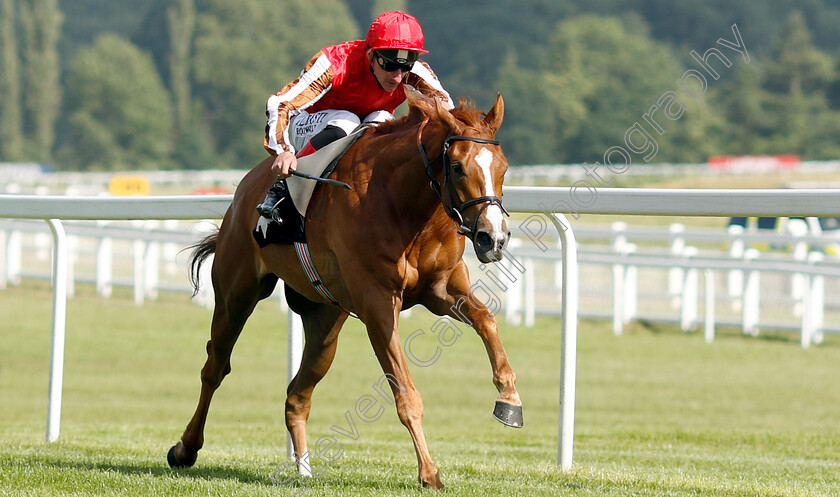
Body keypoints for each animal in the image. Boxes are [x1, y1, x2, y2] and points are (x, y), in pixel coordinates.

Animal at [167, 90, 520, 488]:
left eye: (503, 167)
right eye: (457, 167)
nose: (493, 238)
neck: (404, 205)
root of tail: (244, 189)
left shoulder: (441, 289)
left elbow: (487, 320)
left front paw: (510, 400)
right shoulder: (378, 304)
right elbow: (406, 394)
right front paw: (429, 472)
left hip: (324, 323)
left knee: (297, 394)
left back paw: (303, 468)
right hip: (236, 293)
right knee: (215, 367)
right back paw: (185, 449)